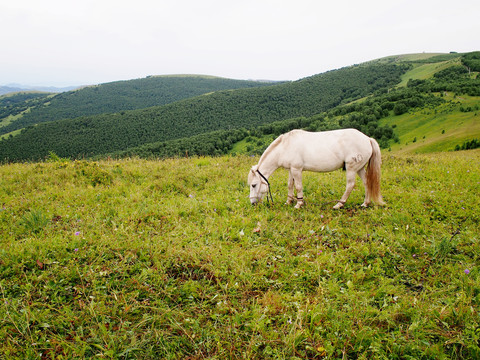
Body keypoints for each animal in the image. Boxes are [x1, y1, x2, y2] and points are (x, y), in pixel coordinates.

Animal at [249, 128, 384, 210]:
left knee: (350, 185)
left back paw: (339, 204)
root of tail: (367, 139)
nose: (253, 203)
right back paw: (365, 203)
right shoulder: (291, 169)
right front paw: (289, 201)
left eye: (254, 185)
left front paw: (298, 204)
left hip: (351, 168)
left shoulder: (297, 169)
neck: (285, 147)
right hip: (359, 168)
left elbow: (298, 186)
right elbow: (290, 185)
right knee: (366, 182)